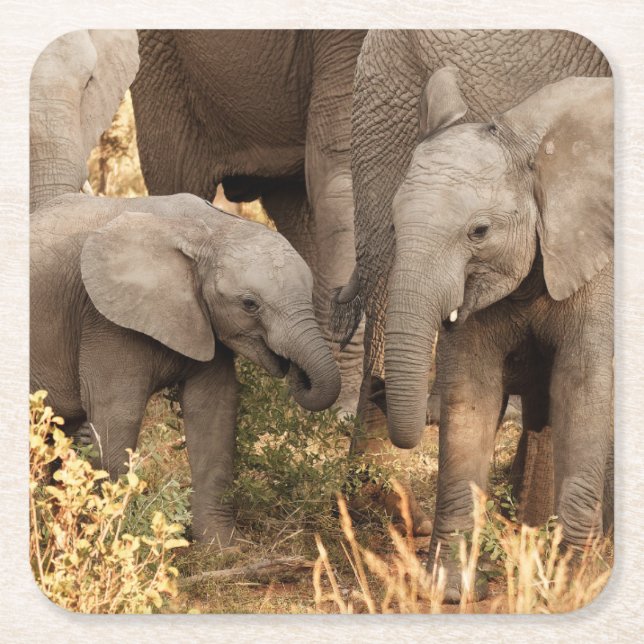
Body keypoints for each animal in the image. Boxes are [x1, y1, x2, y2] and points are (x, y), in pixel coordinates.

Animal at [30, 192, 341, 547]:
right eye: (249, 304)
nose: (296, 372)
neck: (206, 230)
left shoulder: (204, 319)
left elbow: (214, 411)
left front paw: (223, 548)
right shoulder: (104, 320)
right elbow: (118, 414)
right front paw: (110, 540)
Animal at [385, 73, 613, 600]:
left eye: (480, 231)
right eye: (393, 225)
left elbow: (583, 386)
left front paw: (572, 588)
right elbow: (470, 393)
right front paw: (449, 590)